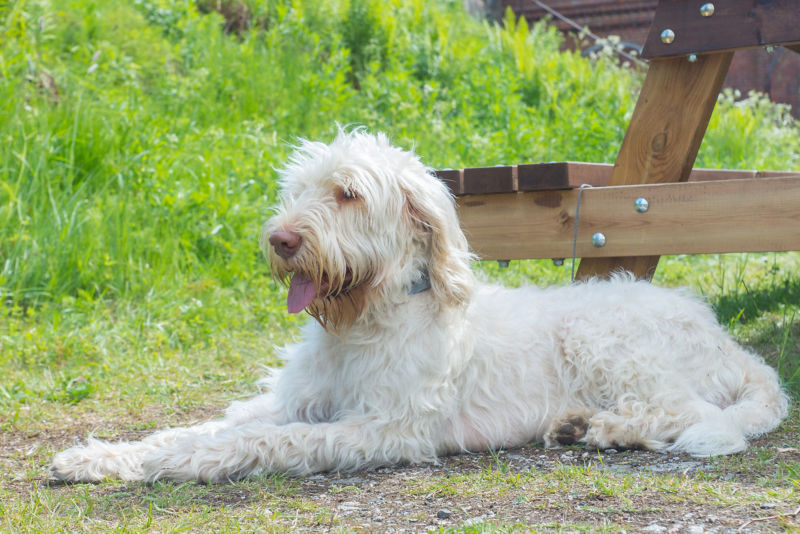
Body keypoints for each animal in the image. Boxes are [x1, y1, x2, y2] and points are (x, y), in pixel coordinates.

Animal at [53, 130, 792, 486]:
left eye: (348, 193)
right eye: (297, 189)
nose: (281, 240)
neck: (364, 321)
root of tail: (728, 342)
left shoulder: (385, 428)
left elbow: (267, 441)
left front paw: (180, 465)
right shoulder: (298, 402)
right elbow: (204, 426)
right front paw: (102, 457)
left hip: (605, 340)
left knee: (682, 413)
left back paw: (604, 428)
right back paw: (576, 422)